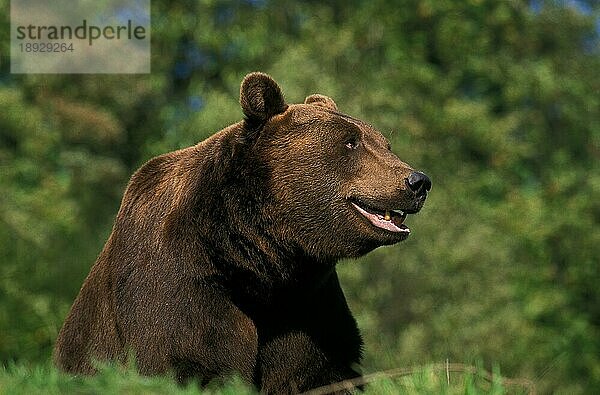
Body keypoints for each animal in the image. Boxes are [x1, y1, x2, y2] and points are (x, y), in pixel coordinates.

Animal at [54, 72, 432, 394]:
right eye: (351, 142)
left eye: (383, 143)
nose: (418, 181)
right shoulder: (182, 281)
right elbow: (190, 357)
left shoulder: (308, 302)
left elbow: (322, 369)